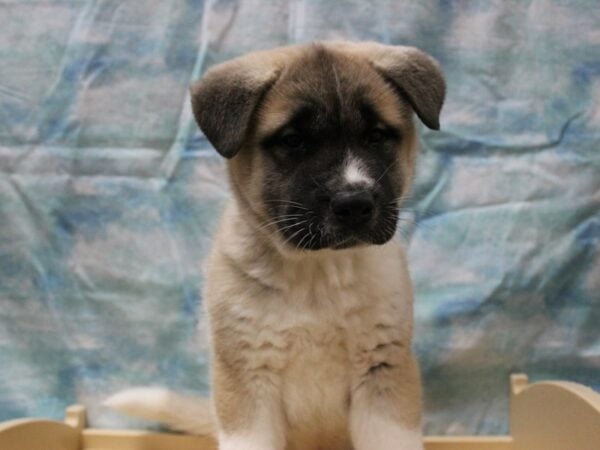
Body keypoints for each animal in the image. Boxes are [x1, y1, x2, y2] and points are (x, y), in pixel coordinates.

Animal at [106, 41, 446, 450]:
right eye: (293, 141)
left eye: (376, 135)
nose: (354, 204)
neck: (316, 273)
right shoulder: (247, 383)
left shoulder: (383, 375)